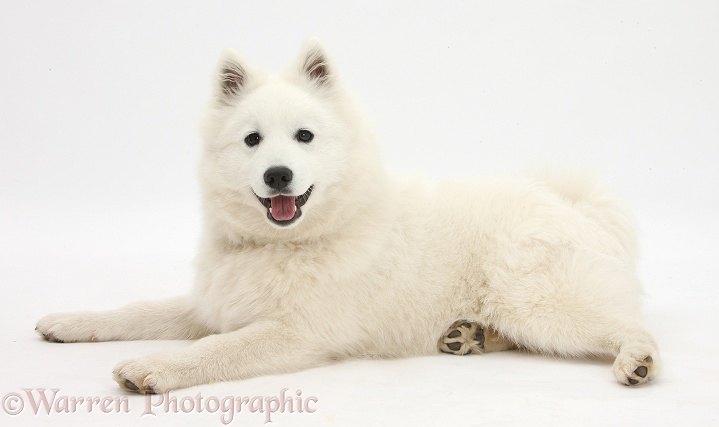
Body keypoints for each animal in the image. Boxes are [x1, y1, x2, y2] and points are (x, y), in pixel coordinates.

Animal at [36, 38, 660, 392]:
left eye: (304, 136)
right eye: (252, 140)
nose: (278, 175)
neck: (286, 244)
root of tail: (572, 206)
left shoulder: (296, 333)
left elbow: (214, 350)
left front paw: (153, 368)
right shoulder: (214, 305)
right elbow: (137, 310)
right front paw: (71, 322)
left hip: (538, 304)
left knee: (628, 324)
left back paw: (636, 360)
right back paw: (470, 336)